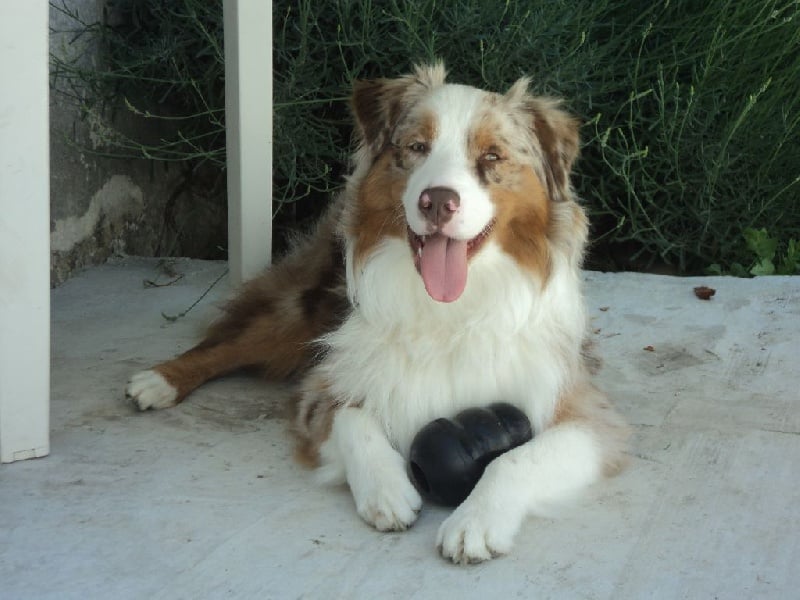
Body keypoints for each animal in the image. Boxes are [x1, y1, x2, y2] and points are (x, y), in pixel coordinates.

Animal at [125, 63, 628, 564]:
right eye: (417, 147)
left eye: (492, 156)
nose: (437, 200)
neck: (449, 313)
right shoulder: (323, 383)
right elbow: (353, 419)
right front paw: (386, 490)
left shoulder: (585, 412)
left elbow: (516, 458)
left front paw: (476, 522)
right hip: (301, 310)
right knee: (225, 343)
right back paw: (158, 381)